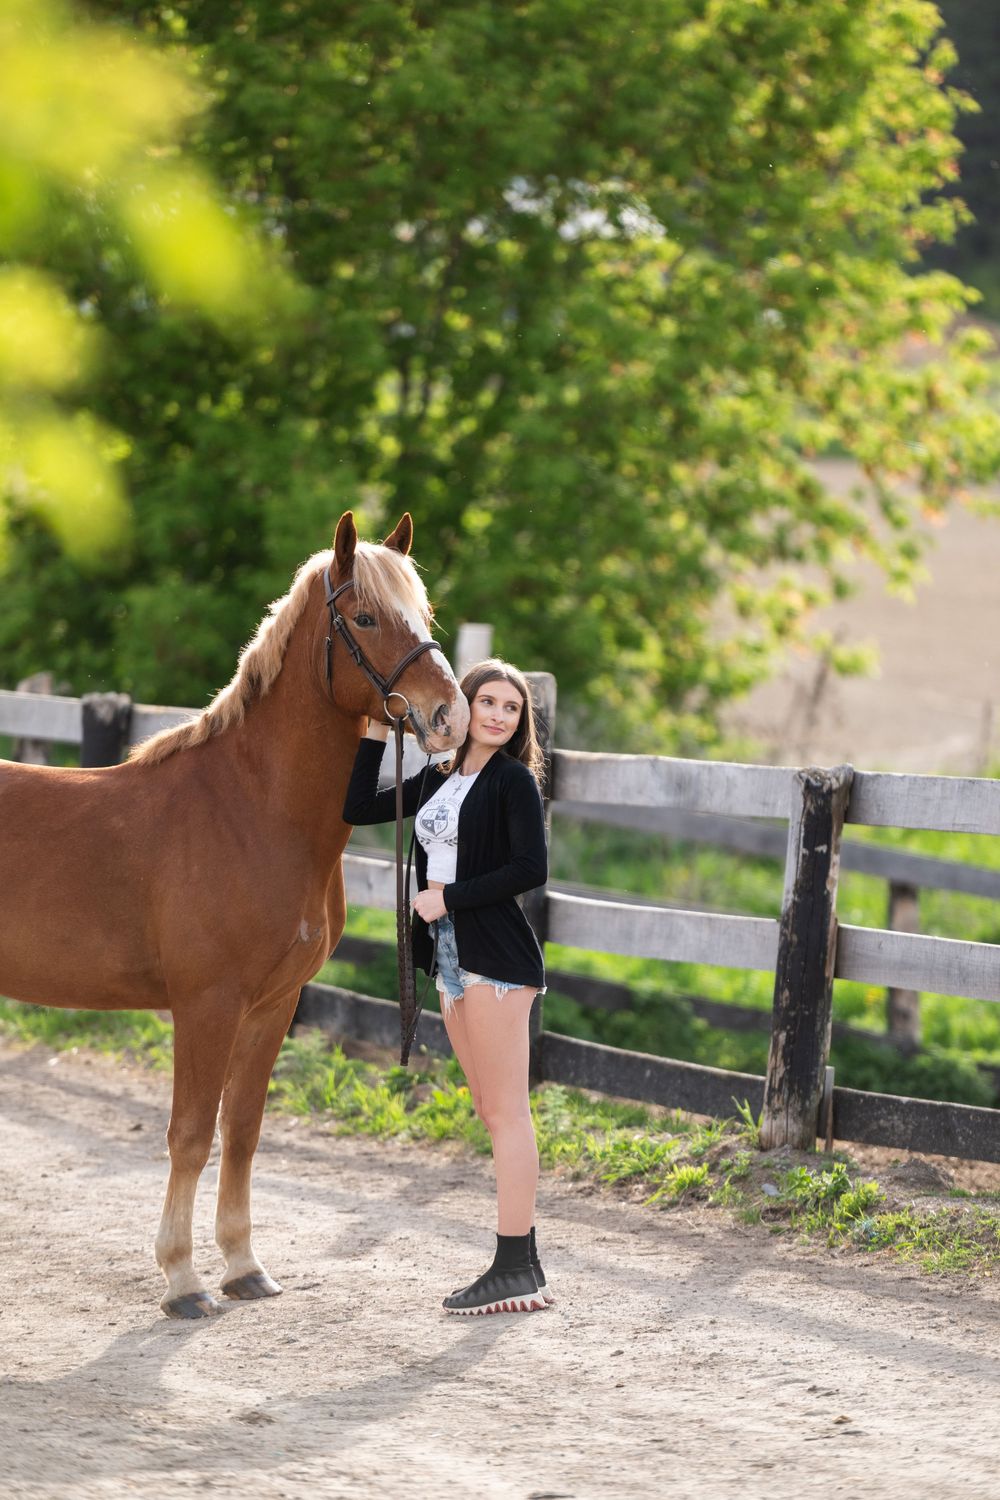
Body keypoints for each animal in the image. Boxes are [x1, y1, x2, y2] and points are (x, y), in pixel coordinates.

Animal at [0, 511, 470, 1318]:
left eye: (427, 614)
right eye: (365, 617)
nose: (449, 716)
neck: (253, 811)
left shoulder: (273, 1004)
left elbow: (242, 1131)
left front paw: (244, 1267)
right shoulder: (206, 1004)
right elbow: (190, 1134)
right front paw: (182, 1280)